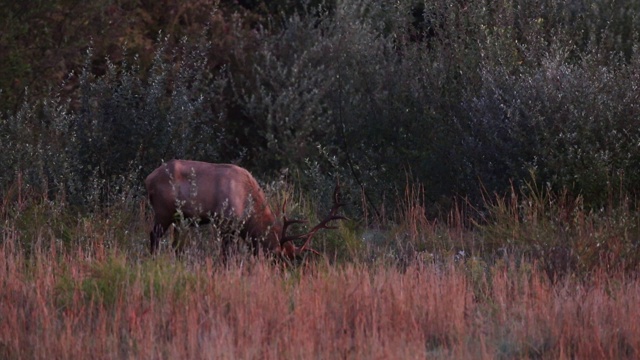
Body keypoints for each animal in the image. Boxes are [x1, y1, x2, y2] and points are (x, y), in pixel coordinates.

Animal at [145, 160, 344, 258]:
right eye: (279, 258)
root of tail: (149, 179)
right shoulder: (226, 224)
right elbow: (227, 256)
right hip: (163, 212)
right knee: (154, 236)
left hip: (179, 219)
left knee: (176, 245)